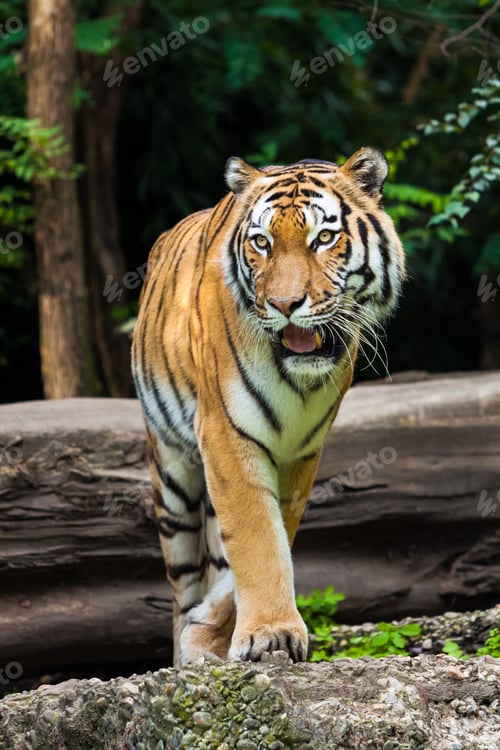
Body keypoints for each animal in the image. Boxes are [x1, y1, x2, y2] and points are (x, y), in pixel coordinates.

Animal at [131, 147, 405, 666]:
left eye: (324, 238)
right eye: (261, 242)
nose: (284, 304)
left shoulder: (301, 451)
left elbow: (269, 538)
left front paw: (222, 633)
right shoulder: (225, 432)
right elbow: (258, 536)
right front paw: (268, 634)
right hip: (173, 481)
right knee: (181, 586)